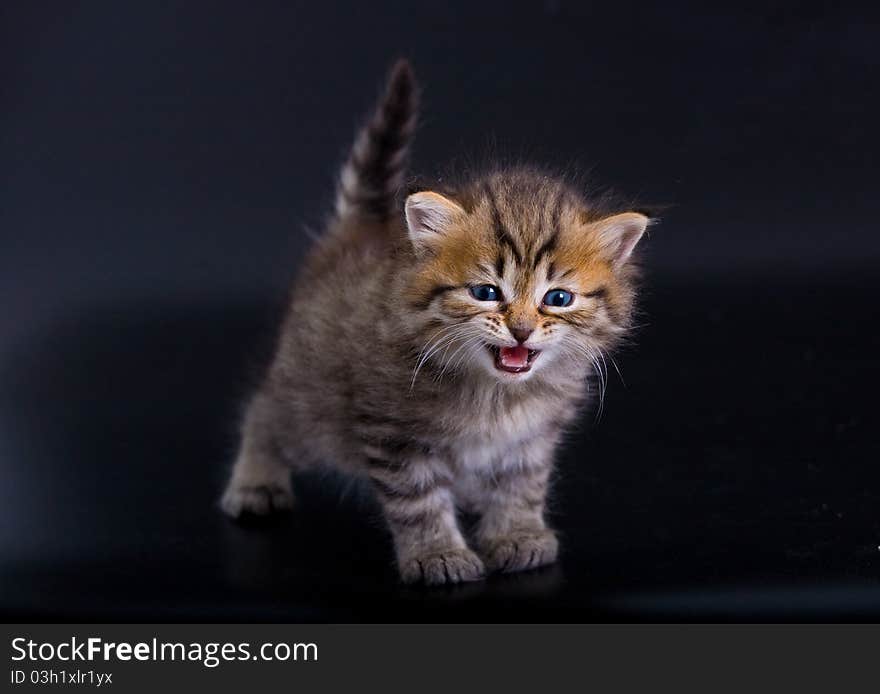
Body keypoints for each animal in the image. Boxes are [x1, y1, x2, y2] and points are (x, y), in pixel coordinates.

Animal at [219, 59, 648, 584]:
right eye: (486, 293)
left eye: (558, 298)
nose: (521, 330)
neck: (495, 396)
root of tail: (357, 232)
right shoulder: (395, 433)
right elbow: (417, 502)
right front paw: (437, 554)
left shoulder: (532, 439)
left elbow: (521, 486)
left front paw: (517, 535)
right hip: (310, 402)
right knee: (264, 411)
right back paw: (255, 484)